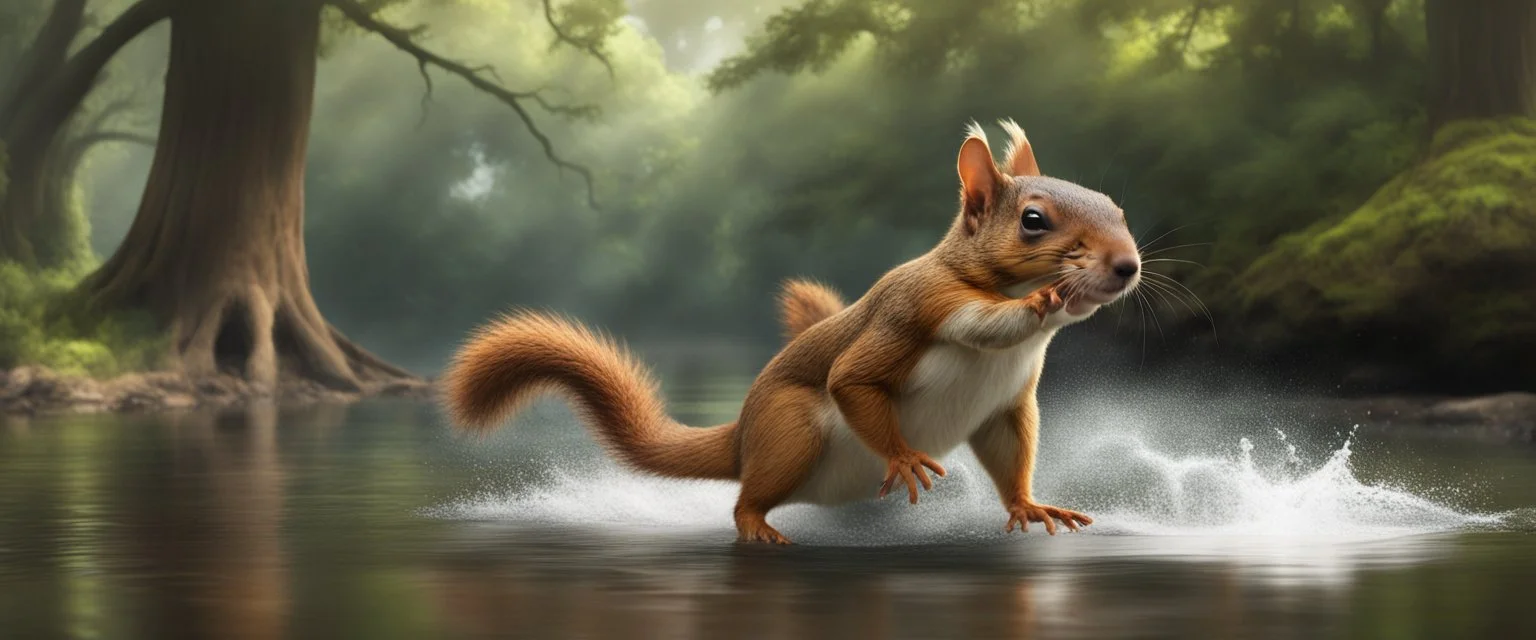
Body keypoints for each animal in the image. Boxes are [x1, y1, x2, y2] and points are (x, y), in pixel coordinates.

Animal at [441, 119, 1141, 544]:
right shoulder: (917, 308)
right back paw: (756, 524)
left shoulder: (1007, 407)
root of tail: (742, 438)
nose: (1126, 266)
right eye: (1033, 221)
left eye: (1118, 209)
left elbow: (1011, 455)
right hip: (791, 433)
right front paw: (904, 456)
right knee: (747, 496)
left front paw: (1029, 506)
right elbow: (854, 378)